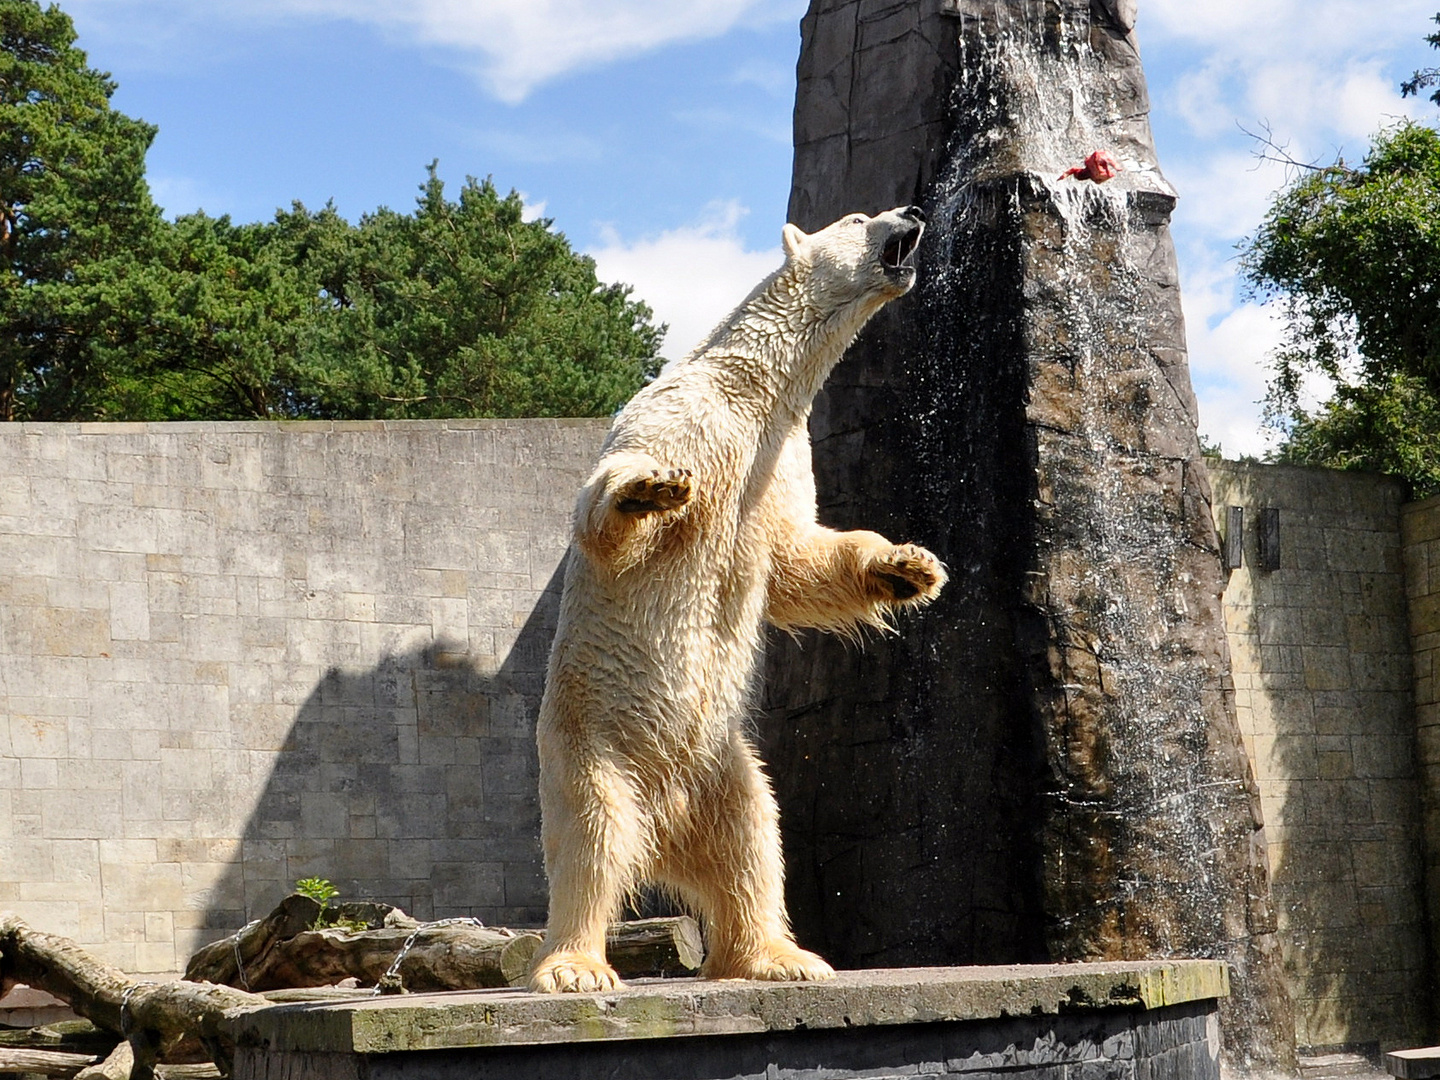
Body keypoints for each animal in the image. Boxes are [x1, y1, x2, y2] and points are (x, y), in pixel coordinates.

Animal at [529, 204, 944, 996]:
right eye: (857, 216)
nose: (911, 211)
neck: (750, 394)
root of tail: (663, 835)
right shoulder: (681, 416)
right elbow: (609, 518)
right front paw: (649, 486)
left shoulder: (778, 460)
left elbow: (794, 562)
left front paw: (909, 566)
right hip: (590, 740)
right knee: (594, 837)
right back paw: (576, 967)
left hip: (721, 763)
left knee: (753, 835)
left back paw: (776, 956)